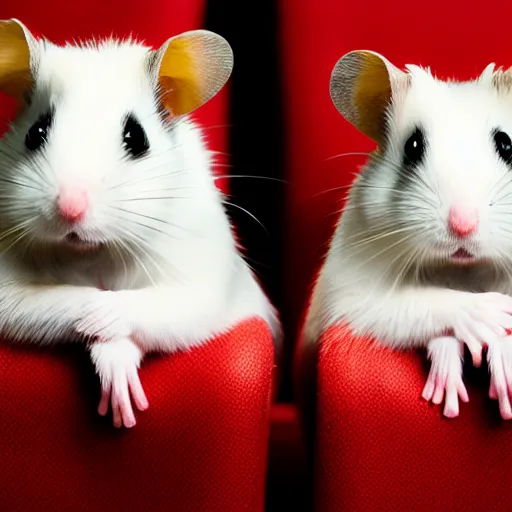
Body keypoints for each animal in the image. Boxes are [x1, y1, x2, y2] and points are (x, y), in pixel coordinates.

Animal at [0, 19, 280, 428]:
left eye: (136, 137)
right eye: (35, 133)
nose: (70, 209)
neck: (95, 253)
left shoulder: (200, 288)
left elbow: (143, 311)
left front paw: (124, 412)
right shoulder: (9, 293)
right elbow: (69, 299)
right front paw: (95, 326)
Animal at [304, 49, 512, 420]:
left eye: (507, 145)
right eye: (413, 146)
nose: (463, 225)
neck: (462, 270)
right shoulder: (354, 296)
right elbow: (424, 303)